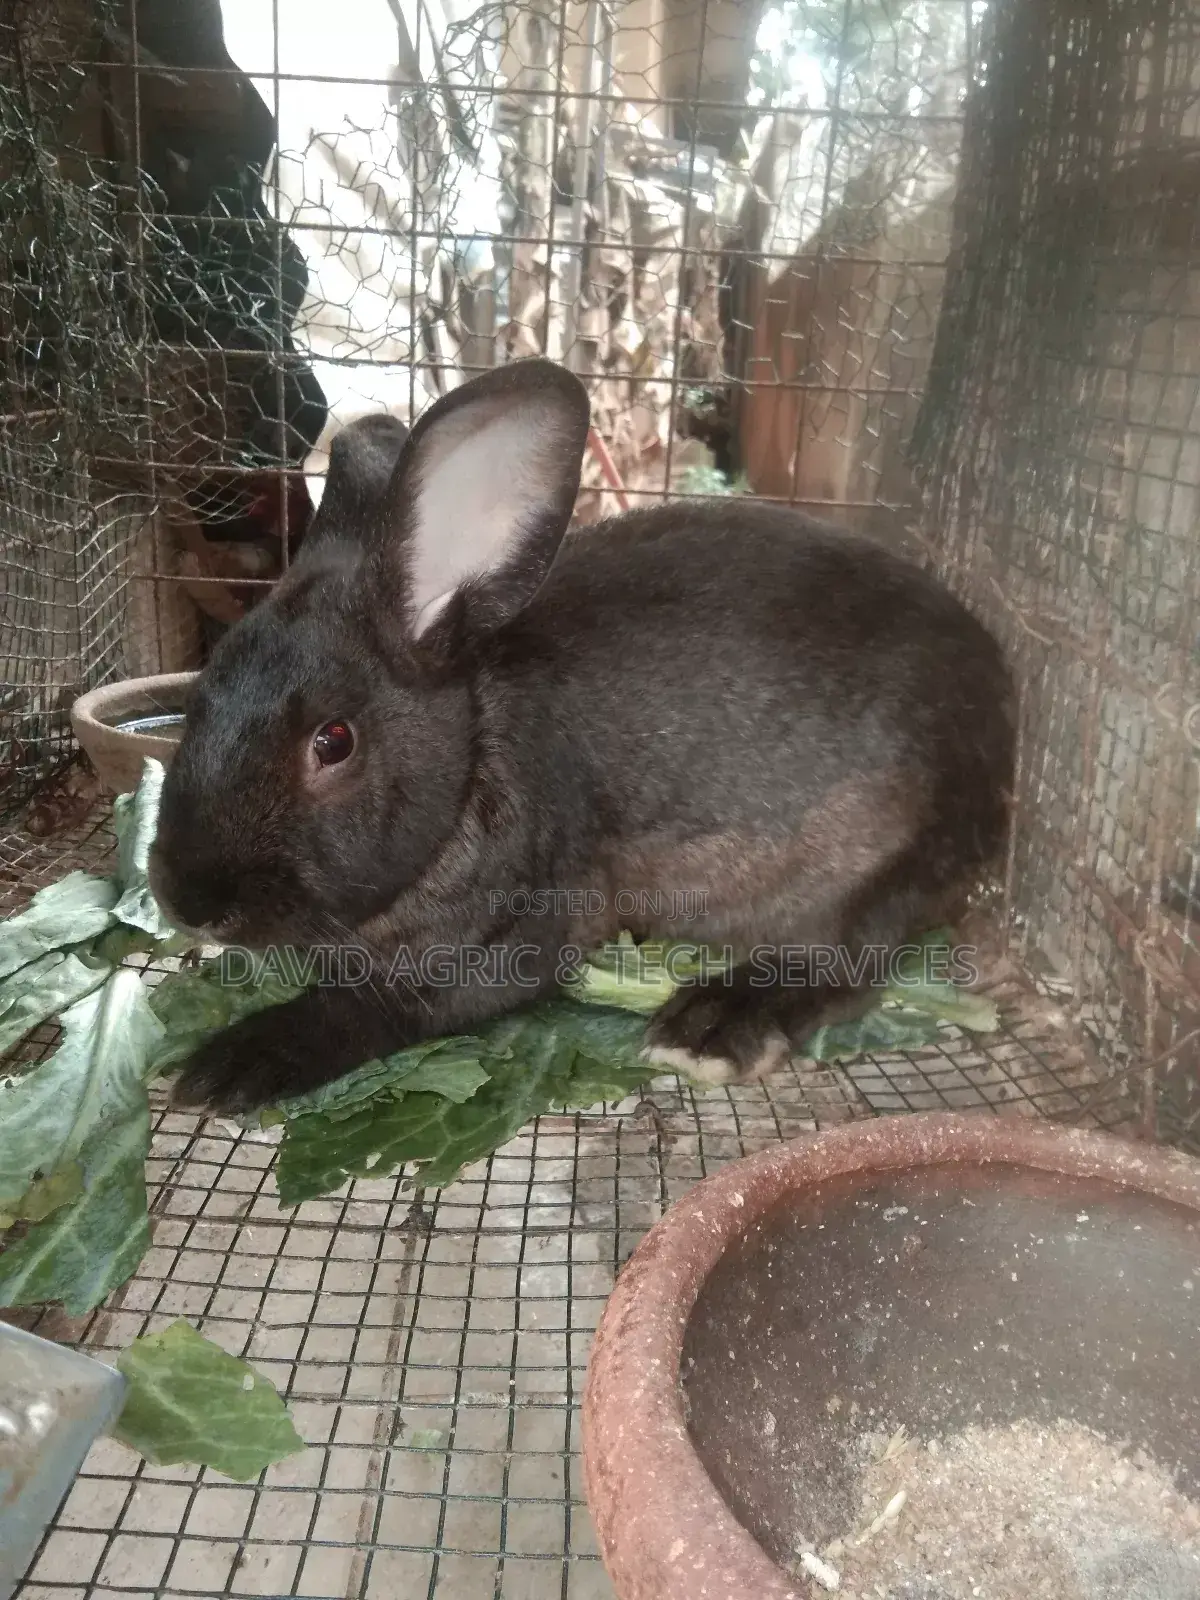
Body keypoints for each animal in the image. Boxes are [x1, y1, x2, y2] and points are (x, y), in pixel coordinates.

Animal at [148, 356, 1016, 1117]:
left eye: (333, 741)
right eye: (201, 693)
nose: (188, 901)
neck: (474, 758)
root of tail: (1001, 724)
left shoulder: (511, 936)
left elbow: (375, 1005)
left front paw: (235, 1064)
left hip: (878, 861)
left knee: (847, 955)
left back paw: (711, 1028)